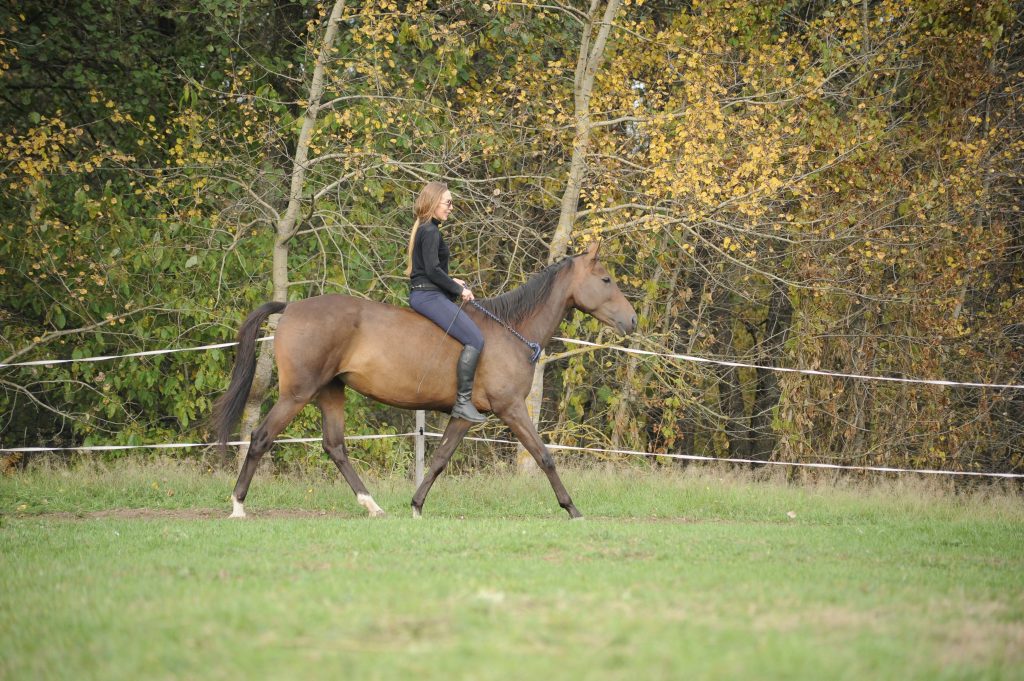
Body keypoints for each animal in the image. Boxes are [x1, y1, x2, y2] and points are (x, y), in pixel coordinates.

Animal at [211, 241, 634, 518]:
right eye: (606, 279)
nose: (631, 320)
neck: (510, 330)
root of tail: (292, 307)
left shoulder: (465, 416)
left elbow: (440, 459)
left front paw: (415, 506)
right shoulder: (511, 408)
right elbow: (544, 456)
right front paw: (573, 509)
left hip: (331, 391)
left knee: (335, 446)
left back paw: (372, 506)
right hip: (297, 393)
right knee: (261, 438)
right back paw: (238, 506)